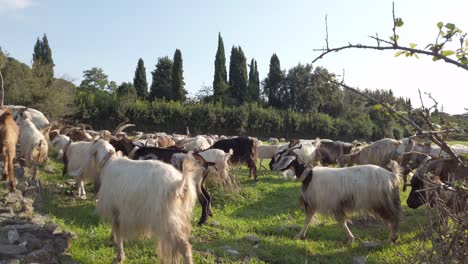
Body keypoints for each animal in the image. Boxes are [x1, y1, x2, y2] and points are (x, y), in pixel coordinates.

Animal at [268, 143, 400, 242]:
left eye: (280, 156)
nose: (270, 165)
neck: (309, 175)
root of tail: (392, 175)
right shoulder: (323, 204)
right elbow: (310, 220)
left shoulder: (327, 204)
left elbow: (313, 220)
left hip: (382, 202)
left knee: (394, 218)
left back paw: (392, 238)